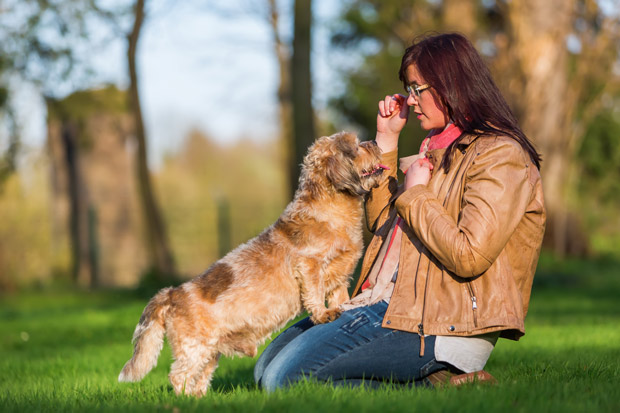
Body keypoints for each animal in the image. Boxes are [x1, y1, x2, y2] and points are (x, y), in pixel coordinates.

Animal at [117, 132, 388, 396]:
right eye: (356, 146)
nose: (375, 141)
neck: (331, 211)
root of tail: (172, 294)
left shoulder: (339, 276)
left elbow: (339, 296)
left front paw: (344, 308)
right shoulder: (310, 265)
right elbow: (314, 293)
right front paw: (324, 315)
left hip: (209, 353)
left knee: (200, 379)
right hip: (194, 348)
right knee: (179, 376)